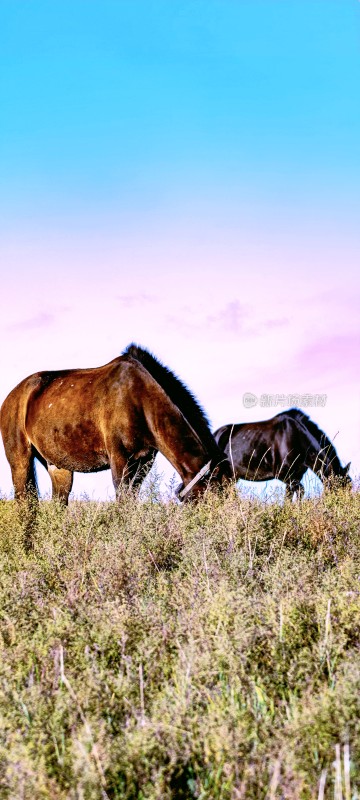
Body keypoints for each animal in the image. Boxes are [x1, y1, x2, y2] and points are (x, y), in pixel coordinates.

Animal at [0, 340, 231, 504]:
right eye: (218, 495)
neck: (140, 398)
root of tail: (12, 396)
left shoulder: (143, 461)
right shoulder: (119, 458)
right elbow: (123, 502)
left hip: (58, 467)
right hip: (20, 463)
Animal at [214, 410, 352, 496]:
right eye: (339, 489)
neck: (298, 438)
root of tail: (216, 434)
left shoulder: (295, 478)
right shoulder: (284, 475)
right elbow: (301, 491)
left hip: (230, 478)